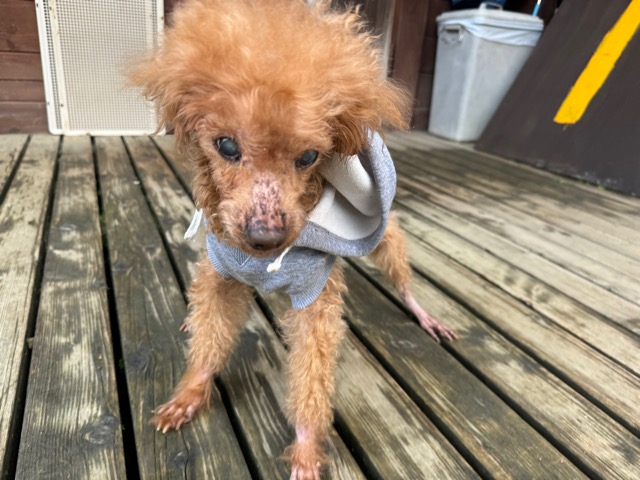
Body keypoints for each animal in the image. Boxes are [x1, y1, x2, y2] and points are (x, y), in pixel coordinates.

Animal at [130, 1, 456, 478]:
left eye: (309, 157)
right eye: (226, 146)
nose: (265, 237)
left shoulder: (314, 295)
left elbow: (312, 369)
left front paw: (304, 447)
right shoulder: (221, 272)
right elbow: (210, 332)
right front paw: (190, 393)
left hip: (380, 235)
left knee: (397, 262)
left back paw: (421, 311)